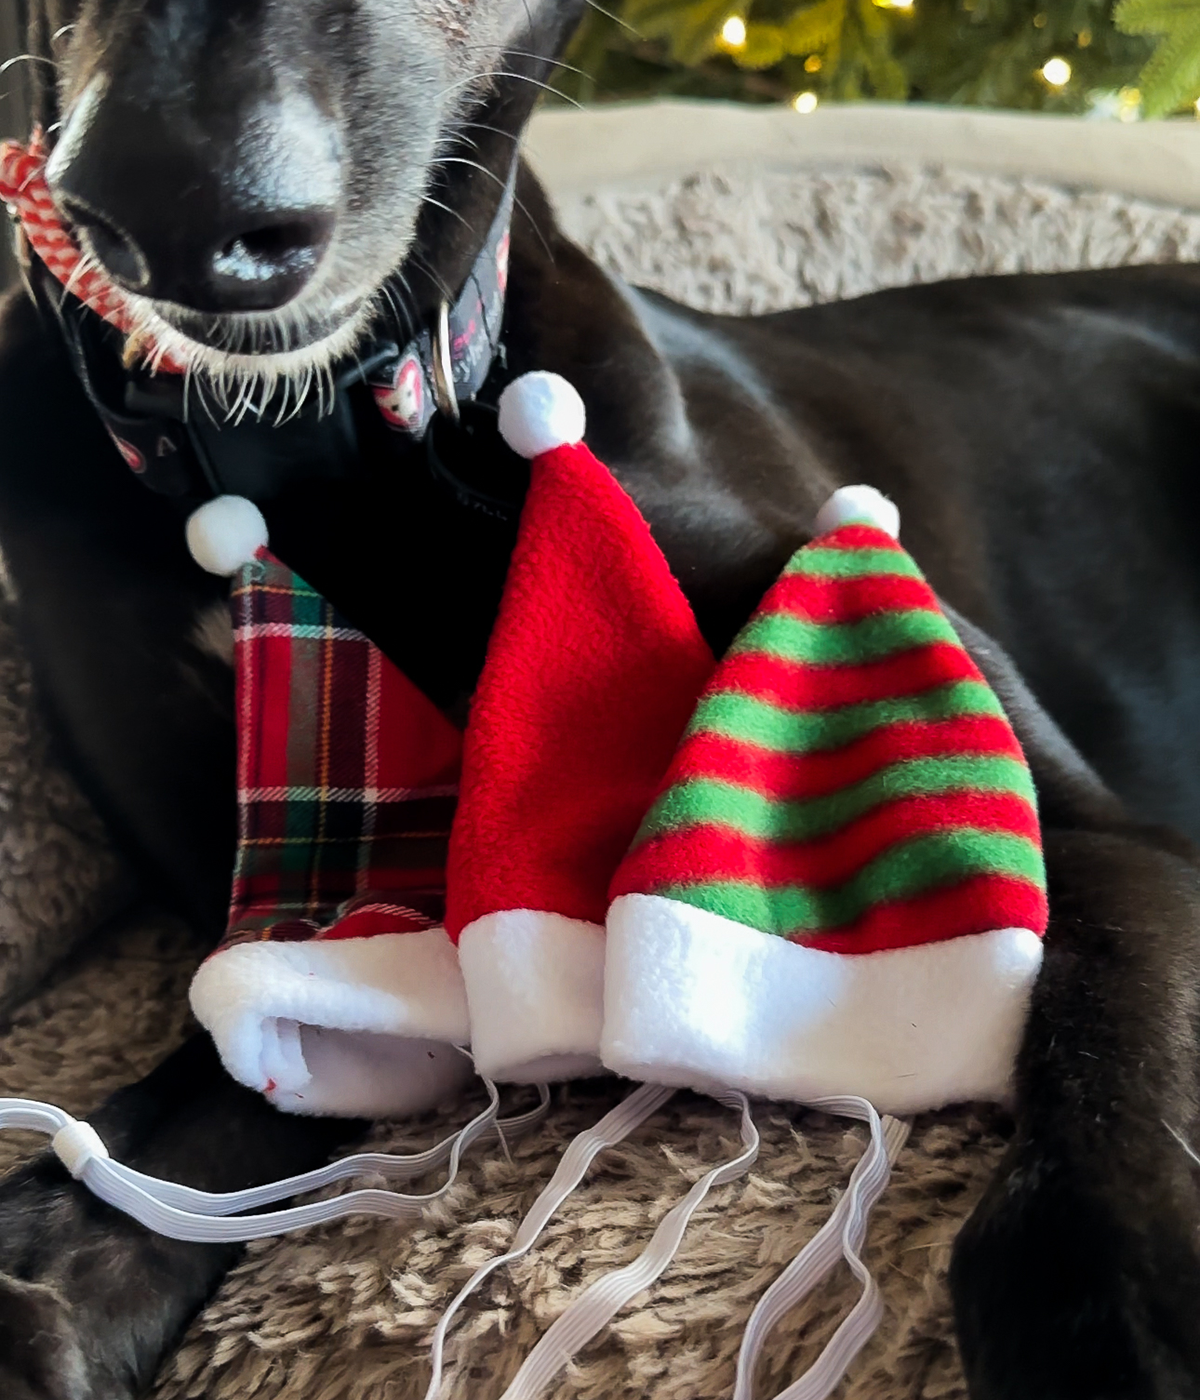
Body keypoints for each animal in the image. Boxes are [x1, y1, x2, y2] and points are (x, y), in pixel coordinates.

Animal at [0, 0, 1198, 1394]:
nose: (171, 206)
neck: (331, 461)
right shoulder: (280, 923)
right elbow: (80, 1216)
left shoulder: (1079, 829)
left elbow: (1103, 1090)